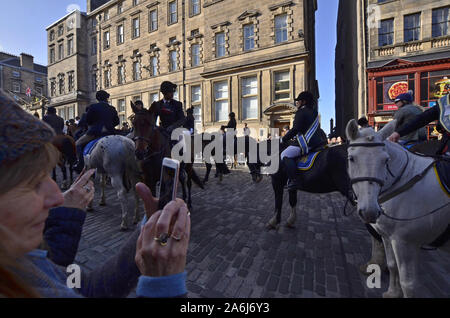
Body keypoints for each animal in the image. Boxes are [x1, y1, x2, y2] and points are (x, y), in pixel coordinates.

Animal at [346, 120, 448, 298]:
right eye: (351, 159)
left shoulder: (405, 242)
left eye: (386, 160)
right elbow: (392, 265)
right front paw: (393, 292)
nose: (370, 212)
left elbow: (409, 284)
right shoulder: (388, 236)